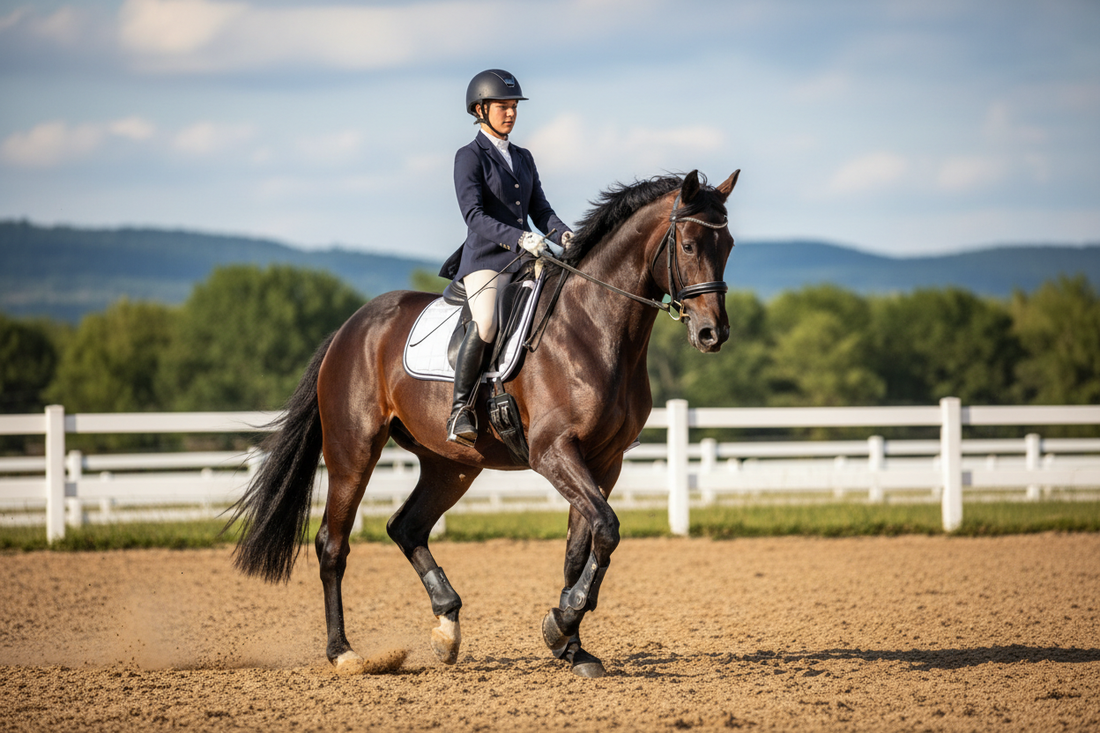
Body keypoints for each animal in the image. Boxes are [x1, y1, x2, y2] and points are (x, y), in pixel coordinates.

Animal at [229, 168, 740, 678]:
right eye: (688, 245)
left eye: (729, 245)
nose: (712, 334)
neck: (593, 328)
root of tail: (349, 329)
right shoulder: (553, 451)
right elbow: (607, 529)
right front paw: (561, 624)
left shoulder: (604, 461)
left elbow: (583, 546)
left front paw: (570, 644)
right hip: (353, 451)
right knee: (332, 544)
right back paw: (344, 652)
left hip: (452, 465)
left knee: (406, 527)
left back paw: (447, 628)